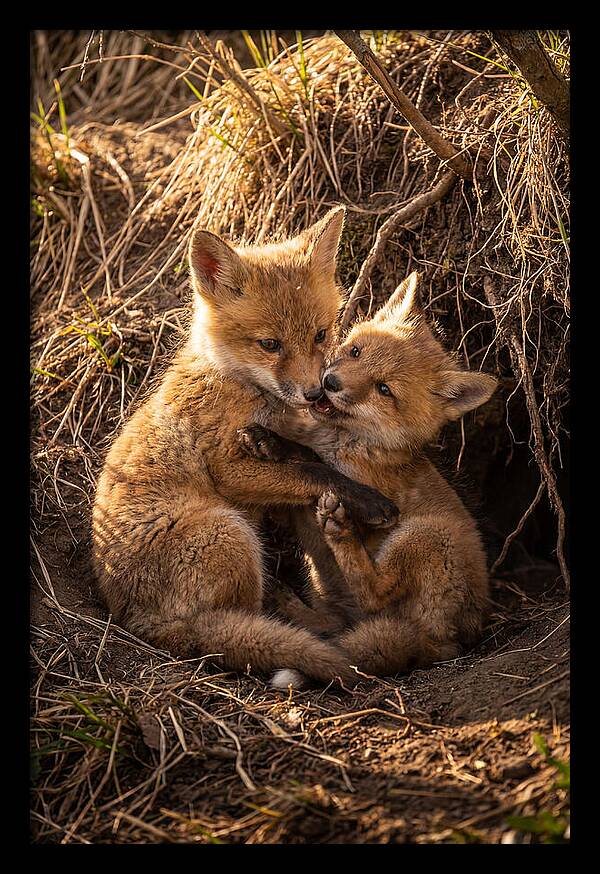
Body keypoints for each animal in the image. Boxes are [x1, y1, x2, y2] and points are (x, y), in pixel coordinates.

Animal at [91, 206, 399, 688]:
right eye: (270, 344)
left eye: (320, 334)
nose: (315, 393)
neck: (236, 383)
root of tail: (137, 622)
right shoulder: (228, 468)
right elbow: (313, 471)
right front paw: (368, 501)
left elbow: (305, 456)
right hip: (229, 531)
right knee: (243, 623)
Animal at [237, 271, 498, 689]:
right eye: (356, 351)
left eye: (384, 389)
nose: (330, 382)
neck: (346, 441)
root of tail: (451, 643)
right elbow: (302, 456)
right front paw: (268, 439)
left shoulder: (363, 487)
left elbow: (314, 462)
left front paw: (278, 445)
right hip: (330, 589)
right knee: (335, 625)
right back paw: (289, 604)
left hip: (425, 535)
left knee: (375, 592)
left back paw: (339, 532)